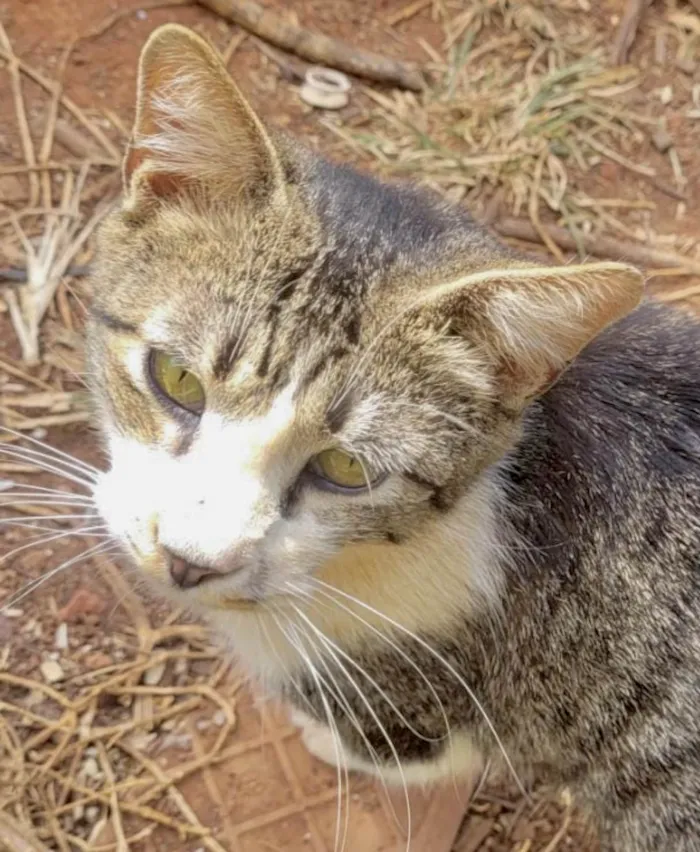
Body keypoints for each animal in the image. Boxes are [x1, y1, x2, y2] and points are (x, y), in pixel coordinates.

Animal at [87, 23, 700, 848]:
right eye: (176, 379)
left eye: (347, 469)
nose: (188, 562)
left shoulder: (431, 697)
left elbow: (411, 746)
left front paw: (323, 739)